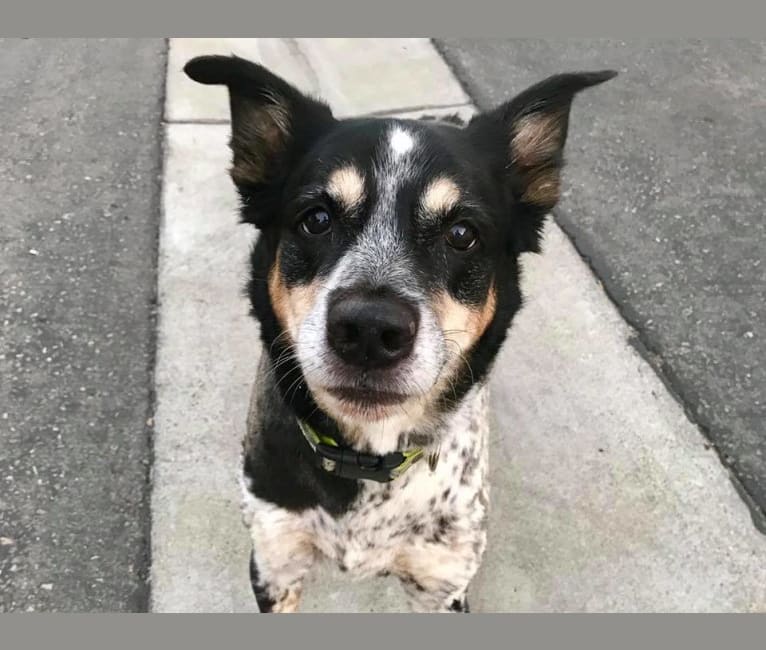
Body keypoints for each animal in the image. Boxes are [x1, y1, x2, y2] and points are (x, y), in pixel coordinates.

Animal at [183, 53, 616, 612]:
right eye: (316, 219)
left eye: (462, 234)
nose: (369, 329)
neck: (367, 459)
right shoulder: (275, 563)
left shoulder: (440, 585)